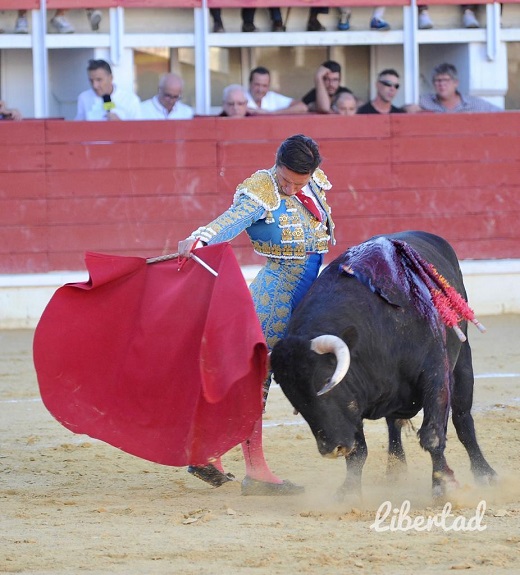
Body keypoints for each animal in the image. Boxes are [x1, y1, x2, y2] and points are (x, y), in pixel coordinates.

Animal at [272, 230, 496, 500]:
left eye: (326, 382)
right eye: (293, 397)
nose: (331, 449)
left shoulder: (435, 376)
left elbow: (432, 436)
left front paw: (442, 485)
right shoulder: (354, 402)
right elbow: (358, 450)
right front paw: (348, 492)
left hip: (463, 361)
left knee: (463, 419)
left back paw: (485, 474)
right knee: (394, 424)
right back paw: (395, 470)